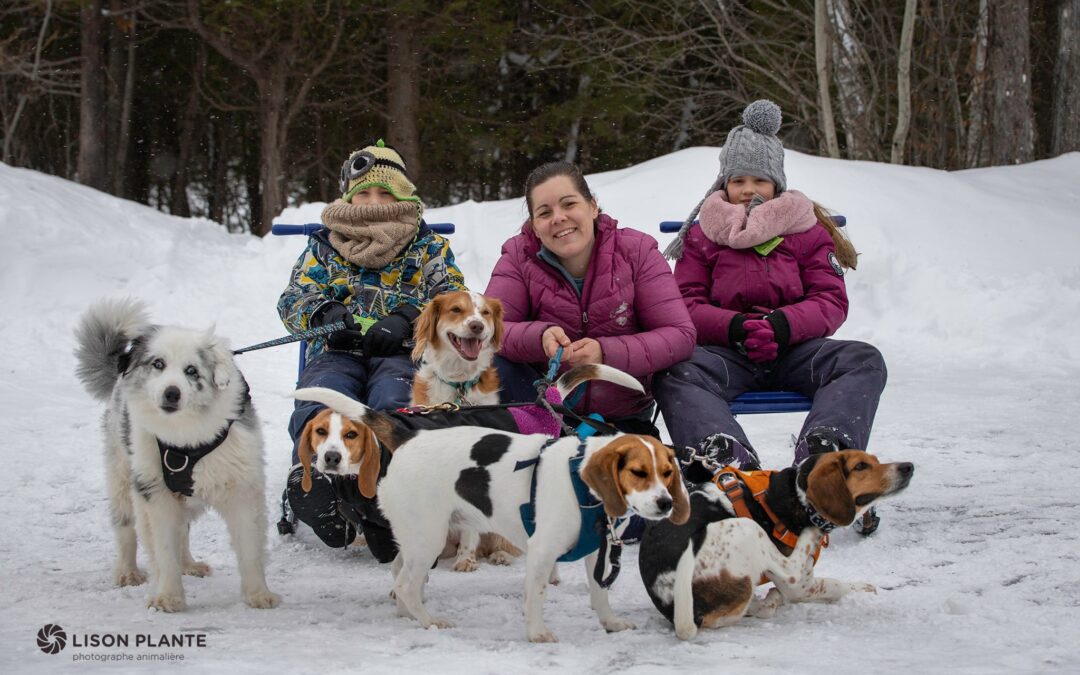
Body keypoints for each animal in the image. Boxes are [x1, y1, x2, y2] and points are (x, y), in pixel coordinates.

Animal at [75, 298, 278, 609]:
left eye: (191, 370)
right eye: (158, 364)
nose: (171, 393)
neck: (187, 438)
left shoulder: (242, 489)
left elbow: (250, 549)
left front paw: (258, 594)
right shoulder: (155, 494)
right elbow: (163, 549)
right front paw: (168, 596)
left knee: (183, 530)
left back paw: (189, 564)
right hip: (124, 478)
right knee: (127, 529)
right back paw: (128, 572)